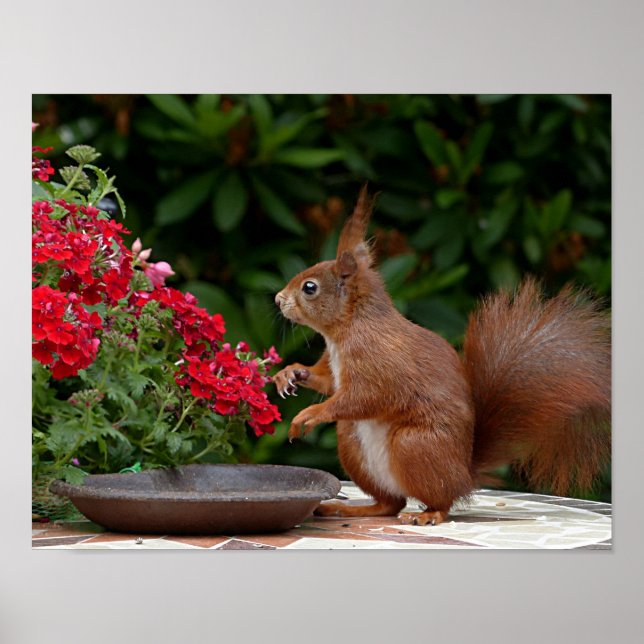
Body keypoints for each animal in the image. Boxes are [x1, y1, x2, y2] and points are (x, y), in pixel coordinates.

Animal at [273, 186, 611, 526]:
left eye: (310, 288)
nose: (277, 299)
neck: (346, 330)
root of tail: (465, 474)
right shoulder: (335, 367)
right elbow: (328, 382)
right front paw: (290, 373)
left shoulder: (379, 360)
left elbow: (364, 397)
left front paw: (309, 414)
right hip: (352, 441)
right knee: (390, 503)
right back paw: (349, 508)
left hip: (414, 445)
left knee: (440, 499)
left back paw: (428, 514)